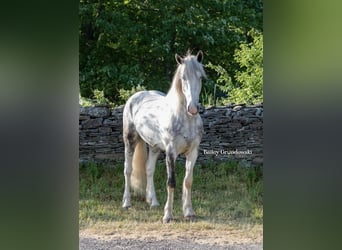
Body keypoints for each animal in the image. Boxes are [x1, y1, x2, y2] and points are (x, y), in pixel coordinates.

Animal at [121, 50, 206, 223]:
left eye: (200, 77)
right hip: (130, 140)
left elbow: (188, 181)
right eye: (183, 78)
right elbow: (171, 182)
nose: (193, 108)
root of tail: (136, 96)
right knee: (128, 170)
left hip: (154, 147)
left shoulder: (193, 152)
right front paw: (168, 215)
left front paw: (189, 212)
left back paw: (153, 202)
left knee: (149, 169)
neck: (185, 119)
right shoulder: (171, 153)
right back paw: (126, 203)